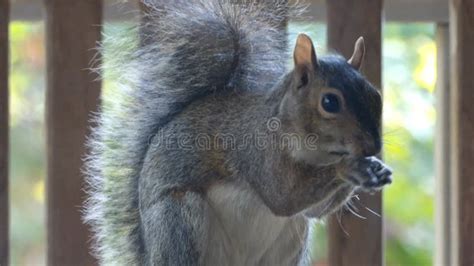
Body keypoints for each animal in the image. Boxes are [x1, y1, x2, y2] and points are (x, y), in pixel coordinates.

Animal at [84, 0, 392, 264]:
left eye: (375, 95)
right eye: (329, 102)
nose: (372, 147)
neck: (313, 151)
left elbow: (312, 210)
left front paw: (372, 169)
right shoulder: (253, 148)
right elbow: (282, 197)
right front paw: (350, 167)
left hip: (291, 239)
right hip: (179, 220)